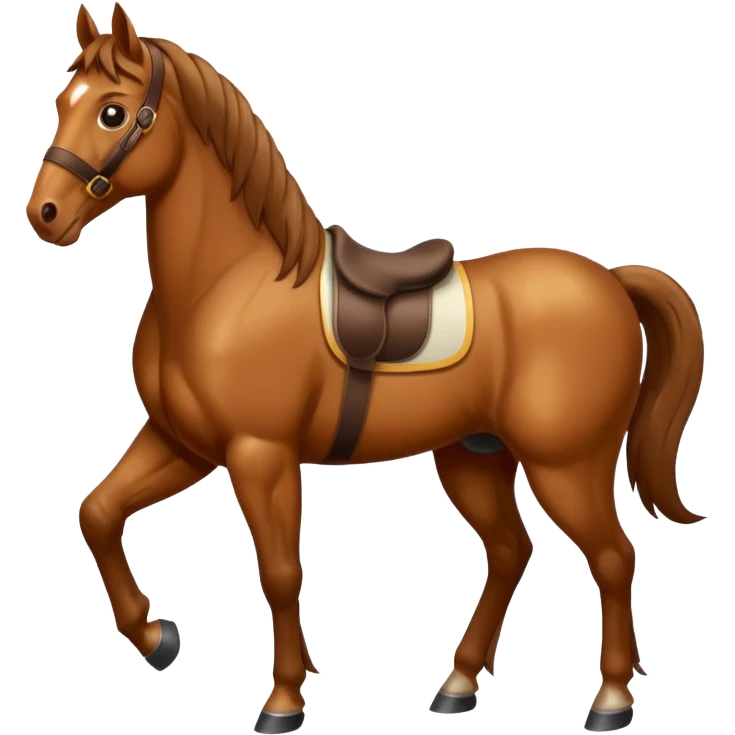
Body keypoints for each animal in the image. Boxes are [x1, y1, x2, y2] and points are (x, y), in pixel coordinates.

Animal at [26, 4, 706, 733]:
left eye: (113, 112)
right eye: (62, 102)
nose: (45, 215)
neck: (226, 285)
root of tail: (611, 280)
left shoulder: (259, 454)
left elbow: (279, 572)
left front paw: (283, 699)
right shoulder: (183, 443)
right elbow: (98, 512)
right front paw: (157, 638)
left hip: (566, 465)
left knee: (612, 556)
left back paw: (610, 699)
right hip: (474, 455)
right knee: (509, 552)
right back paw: (457, 684)